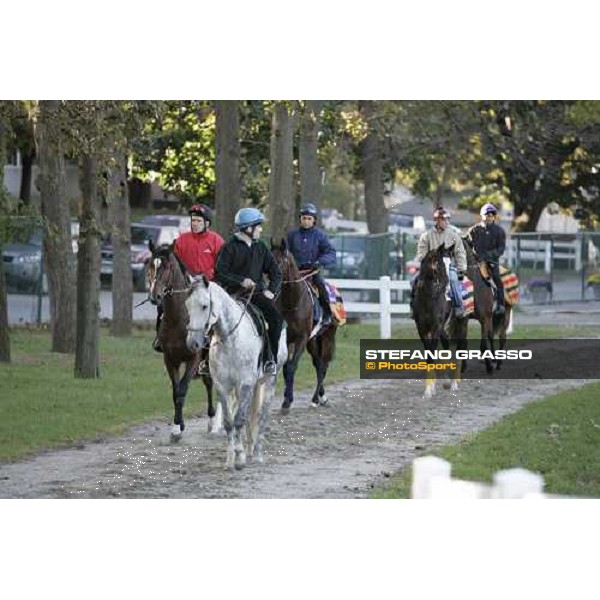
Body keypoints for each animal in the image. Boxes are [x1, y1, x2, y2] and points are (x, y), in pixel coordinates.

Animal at [147, 241, 217, 442]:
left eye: (167, 267)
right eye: (150, 265)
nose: (155, 296)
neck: (179, 319)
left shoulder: (194, 358)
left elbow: (182, 390)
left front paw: (178, 428)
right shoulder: (170, 359)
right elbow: (175, 391)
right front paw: (178, 425)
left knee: (210, 383)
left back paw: (213, 420)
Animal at [186, 276, 288, 468]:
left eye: (204, 305)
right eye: (187, 305)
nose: (192, 343)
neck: (231, 339)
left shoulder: (246, 383)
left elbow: (239, 419)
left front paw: (240, 457)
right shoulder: (223, 386)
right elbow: (229, 422)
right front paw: (230, 459)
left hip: (269, 381)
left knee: (261, 416)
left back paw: (257, 454)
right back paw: (249, 450)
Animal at [270, 239, 338, 412]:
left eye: (280, 262)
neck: (293, 302)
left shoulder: (301, 337)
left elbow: (292, 366)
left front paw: (288, 401)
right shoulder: (288, 338)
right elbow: (286, 369)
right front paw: (286, 398)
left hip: (327, 337)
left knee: (323, 366)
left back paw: (316, 399)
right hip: (312, 341)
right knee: (318, 364)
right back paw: (321, 397)